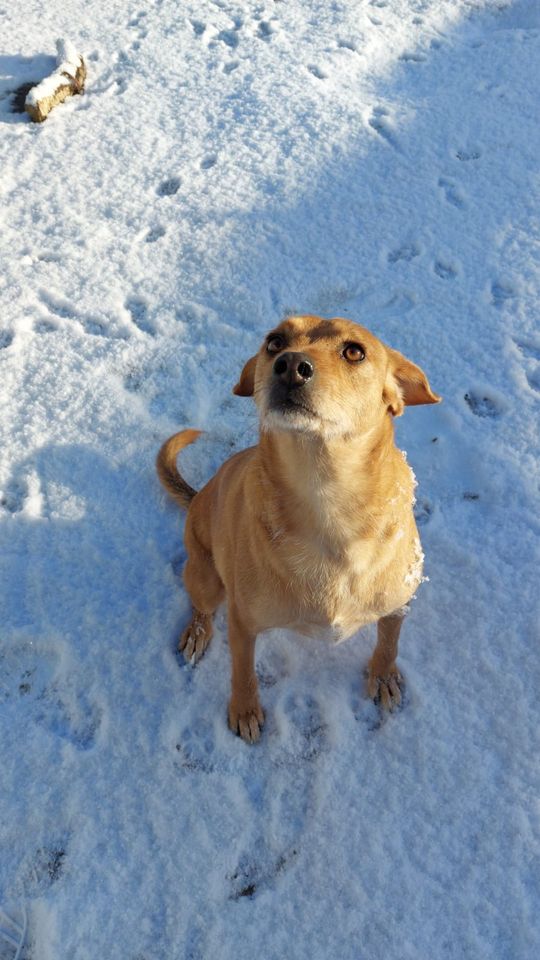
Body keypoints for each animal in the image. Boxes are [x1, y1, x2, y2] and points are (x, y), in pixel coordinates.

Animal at [156, 316, 438, 744]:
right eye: (274, 342)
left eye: (354, 351)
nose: (290, 366)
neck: (327, 506)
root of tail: (199, 494)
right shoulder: (242, 623)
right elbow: (243, 672)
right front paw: (245, 710)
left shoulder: (397, 605)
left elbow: (389, 641)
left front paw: (383, 676)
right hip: (206, 576)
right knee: (201, 607)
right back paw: (197, 633)